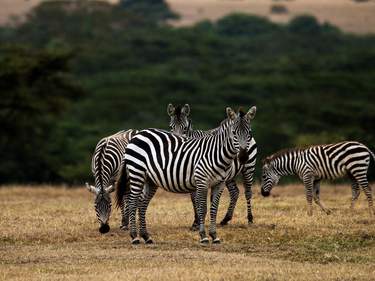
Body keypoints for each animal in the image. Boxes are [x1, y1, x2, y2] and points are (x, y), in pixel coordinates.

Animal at [116, 105, 258, 243]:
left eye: (249, 132)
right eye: (234, 133)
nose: (243, 157)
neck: (217, 154)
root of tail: (139, 134)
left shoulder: (219, 183)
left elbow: (213, 209)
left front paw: (214, 236)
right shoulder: (201, 182)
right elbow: (202, 208)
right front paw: (203, 235)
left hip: (150, 179)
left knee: (142, 203)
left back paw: (146, 236)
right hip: (137, 172)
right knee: (133, 201)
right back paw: (134, 236)